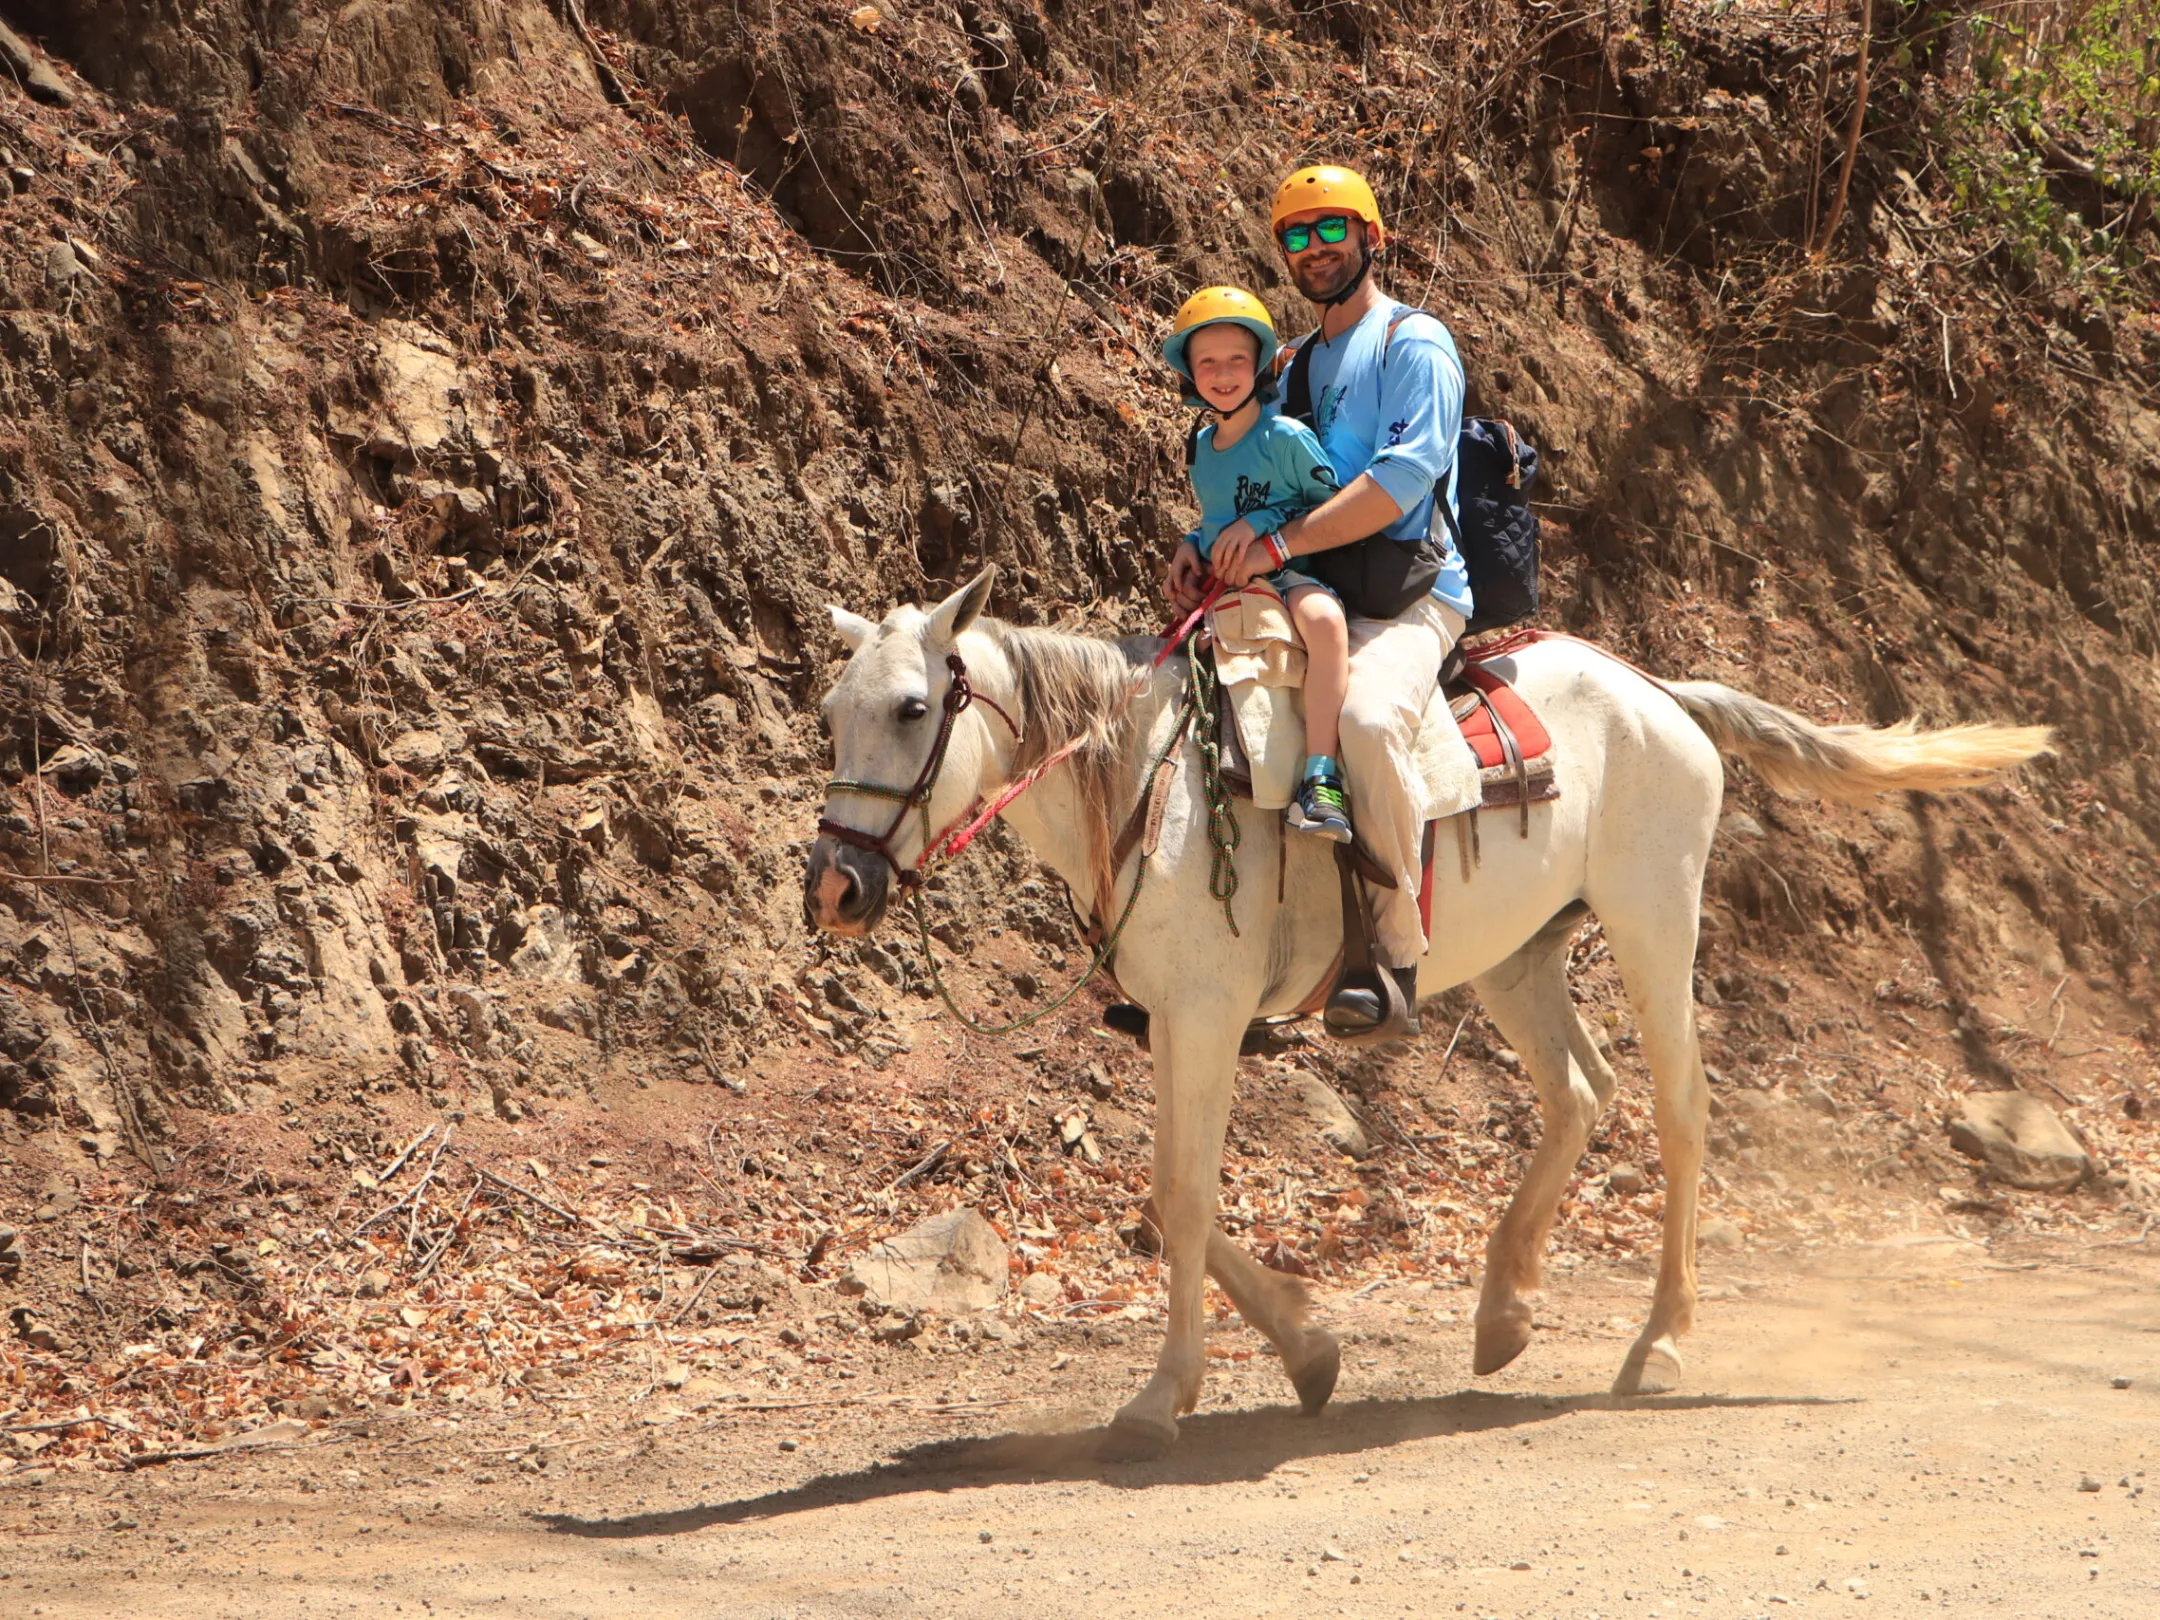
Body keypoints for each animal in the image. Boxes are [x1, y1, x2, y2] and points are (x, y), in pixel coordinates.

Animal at [804, 568, 2051, 1458]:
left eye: (912, 707)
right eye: (829, 713)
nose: (836, 888)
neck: (1155, 782)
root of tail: (1659, 692)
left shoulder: (1205, 1019)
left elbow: (1183, 1196)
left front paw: (1165, 1396)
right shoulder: (1174, 1024)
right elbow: (1171, 1200)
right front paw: (1309, 1350)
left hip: (1655, 921)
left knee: (1682, 1110)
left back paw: (1660, 1343)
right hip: (1518, 960)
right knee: (1581, 1091)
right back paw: (1504, 1314)